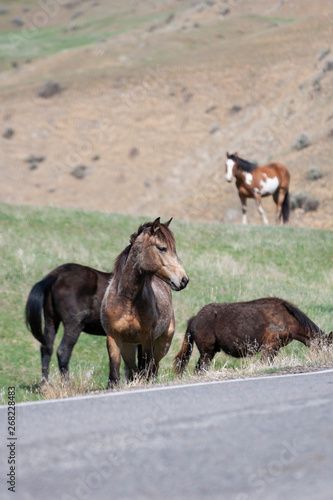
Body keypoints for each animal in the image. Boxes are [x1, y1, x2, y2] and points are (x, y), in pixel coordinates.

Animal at [100, 216, 188, 386]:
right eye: (162, 248)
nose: (183, 280)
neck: (128, 300)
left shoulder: (148, 339)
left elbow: (146, 369)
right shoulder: (114, 339)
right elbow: (115, 375)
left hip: (162, 344)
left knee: (153, 368)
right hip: (129, 347)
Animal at [172, 294, 330, 374]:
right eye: (327, 346)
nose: (327, 359)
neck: (288, 319)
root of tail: (194, 319)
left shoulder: (274, 349)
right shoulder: (269, 346)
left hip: (209, 353)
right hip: (207, 352)